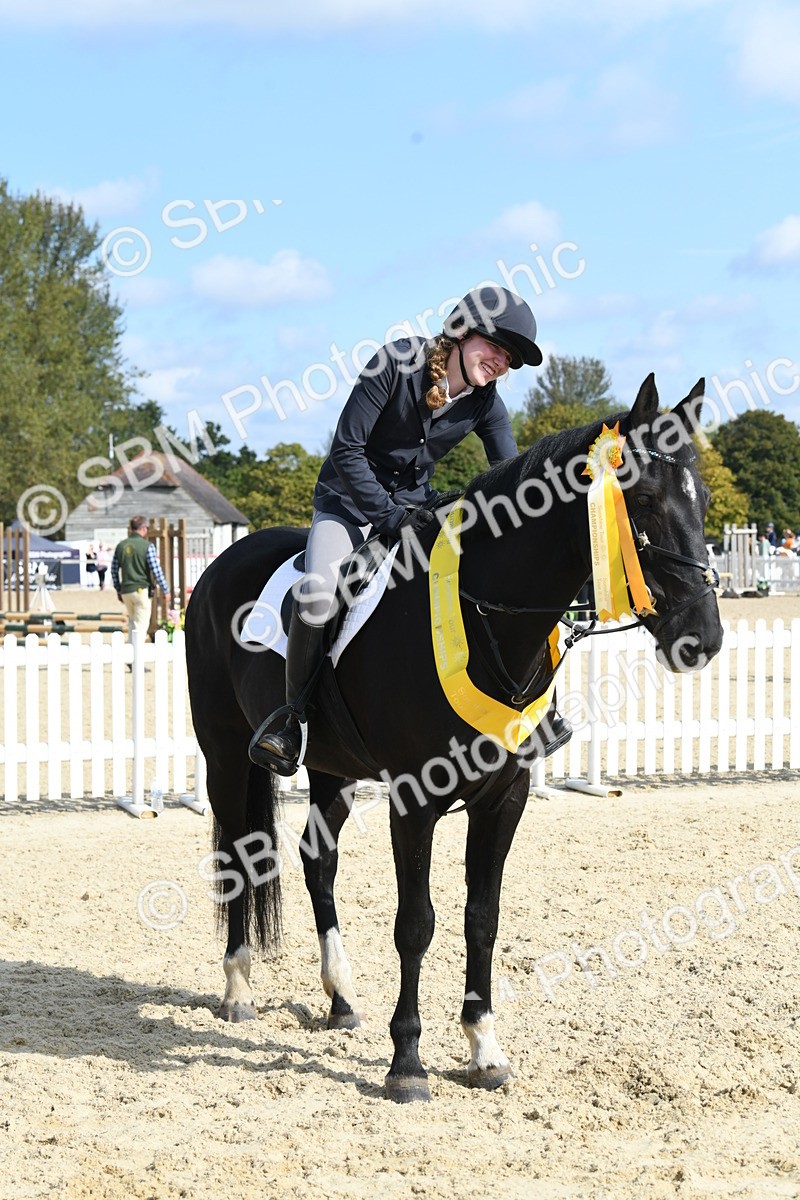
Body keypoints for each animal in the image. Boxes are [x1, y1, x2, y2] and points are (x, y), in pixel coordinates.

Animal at [185, 373, 723, 1103]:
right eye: (640, 500)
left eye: (703, 497)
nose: (703, 636)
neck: (484, 617)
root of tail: (222, 562)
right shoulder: (415, 802)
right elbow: (416, 924)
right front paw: (407, 1063)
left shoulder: (504, 798)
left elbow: (481, 917)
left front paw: (484, 1049)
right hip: (225, 756)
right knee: (238, 857)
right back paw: (238, 988)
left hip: (332, 768)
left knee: (317, 860)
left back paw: (340, 998)